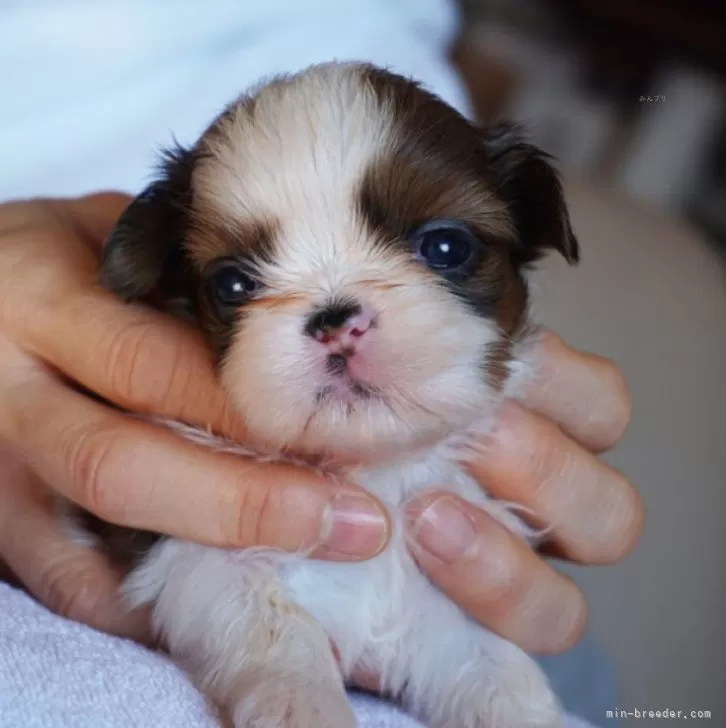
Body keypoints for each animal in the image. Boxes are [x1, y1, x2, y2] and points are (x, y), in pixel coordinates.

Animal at [69, 64, 580, 728]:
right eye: (232, 284)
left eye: (446, 248)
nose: (336, 321)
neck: (370, 473)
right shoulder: (196, 551)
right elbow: (268, 625)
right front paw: (302, 702)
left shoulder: (442, 586)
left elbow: (491, 664)